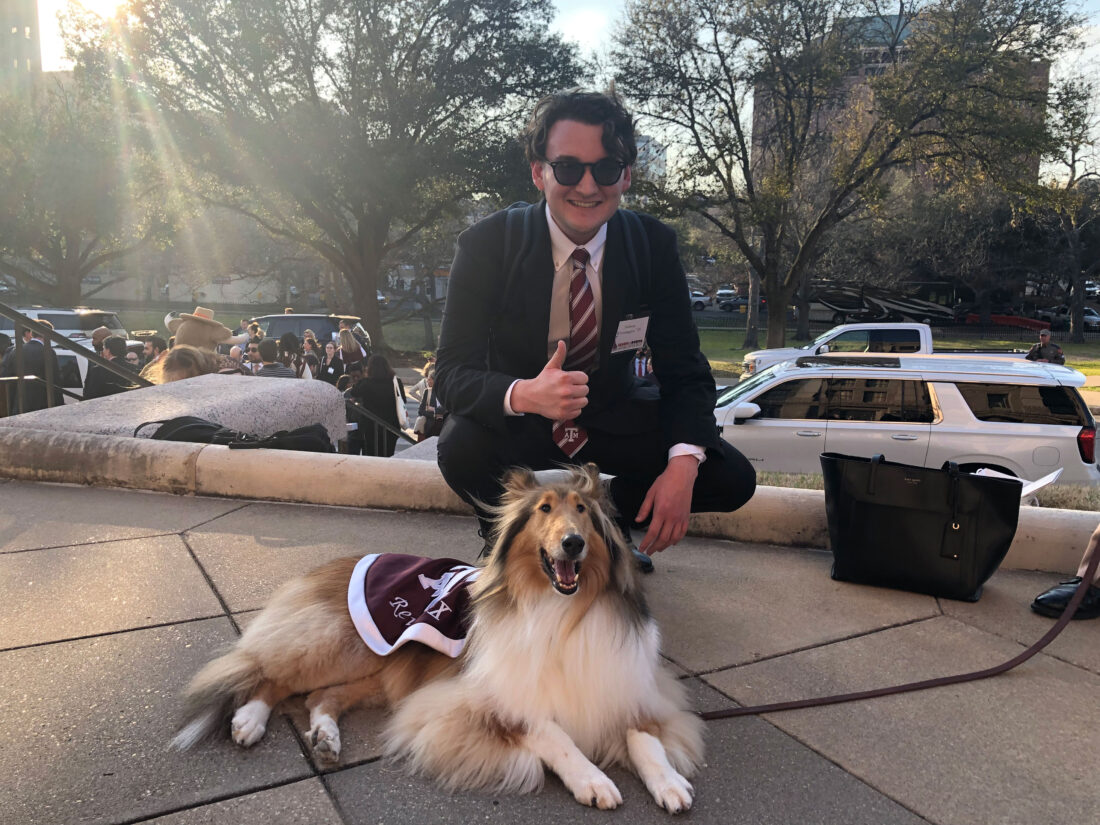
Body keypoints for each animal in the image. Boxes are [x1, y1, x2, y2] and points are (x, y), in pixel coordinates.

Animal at [171, 466, 704, 814]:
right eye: (544, 509)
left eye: (584, 513)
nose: (572, 543)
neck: (559, 611)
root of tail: (342, 560)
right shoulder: (490, 697)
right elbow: (557, 736)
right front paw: (593, 779)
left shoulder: (624, 687)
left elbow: (644, 739)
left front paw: (668, 782)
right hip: (338, 646)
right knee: (268, 674)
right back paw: (249, 720)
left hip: (384, 670)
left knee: (321, 697)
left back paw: (325, 735)